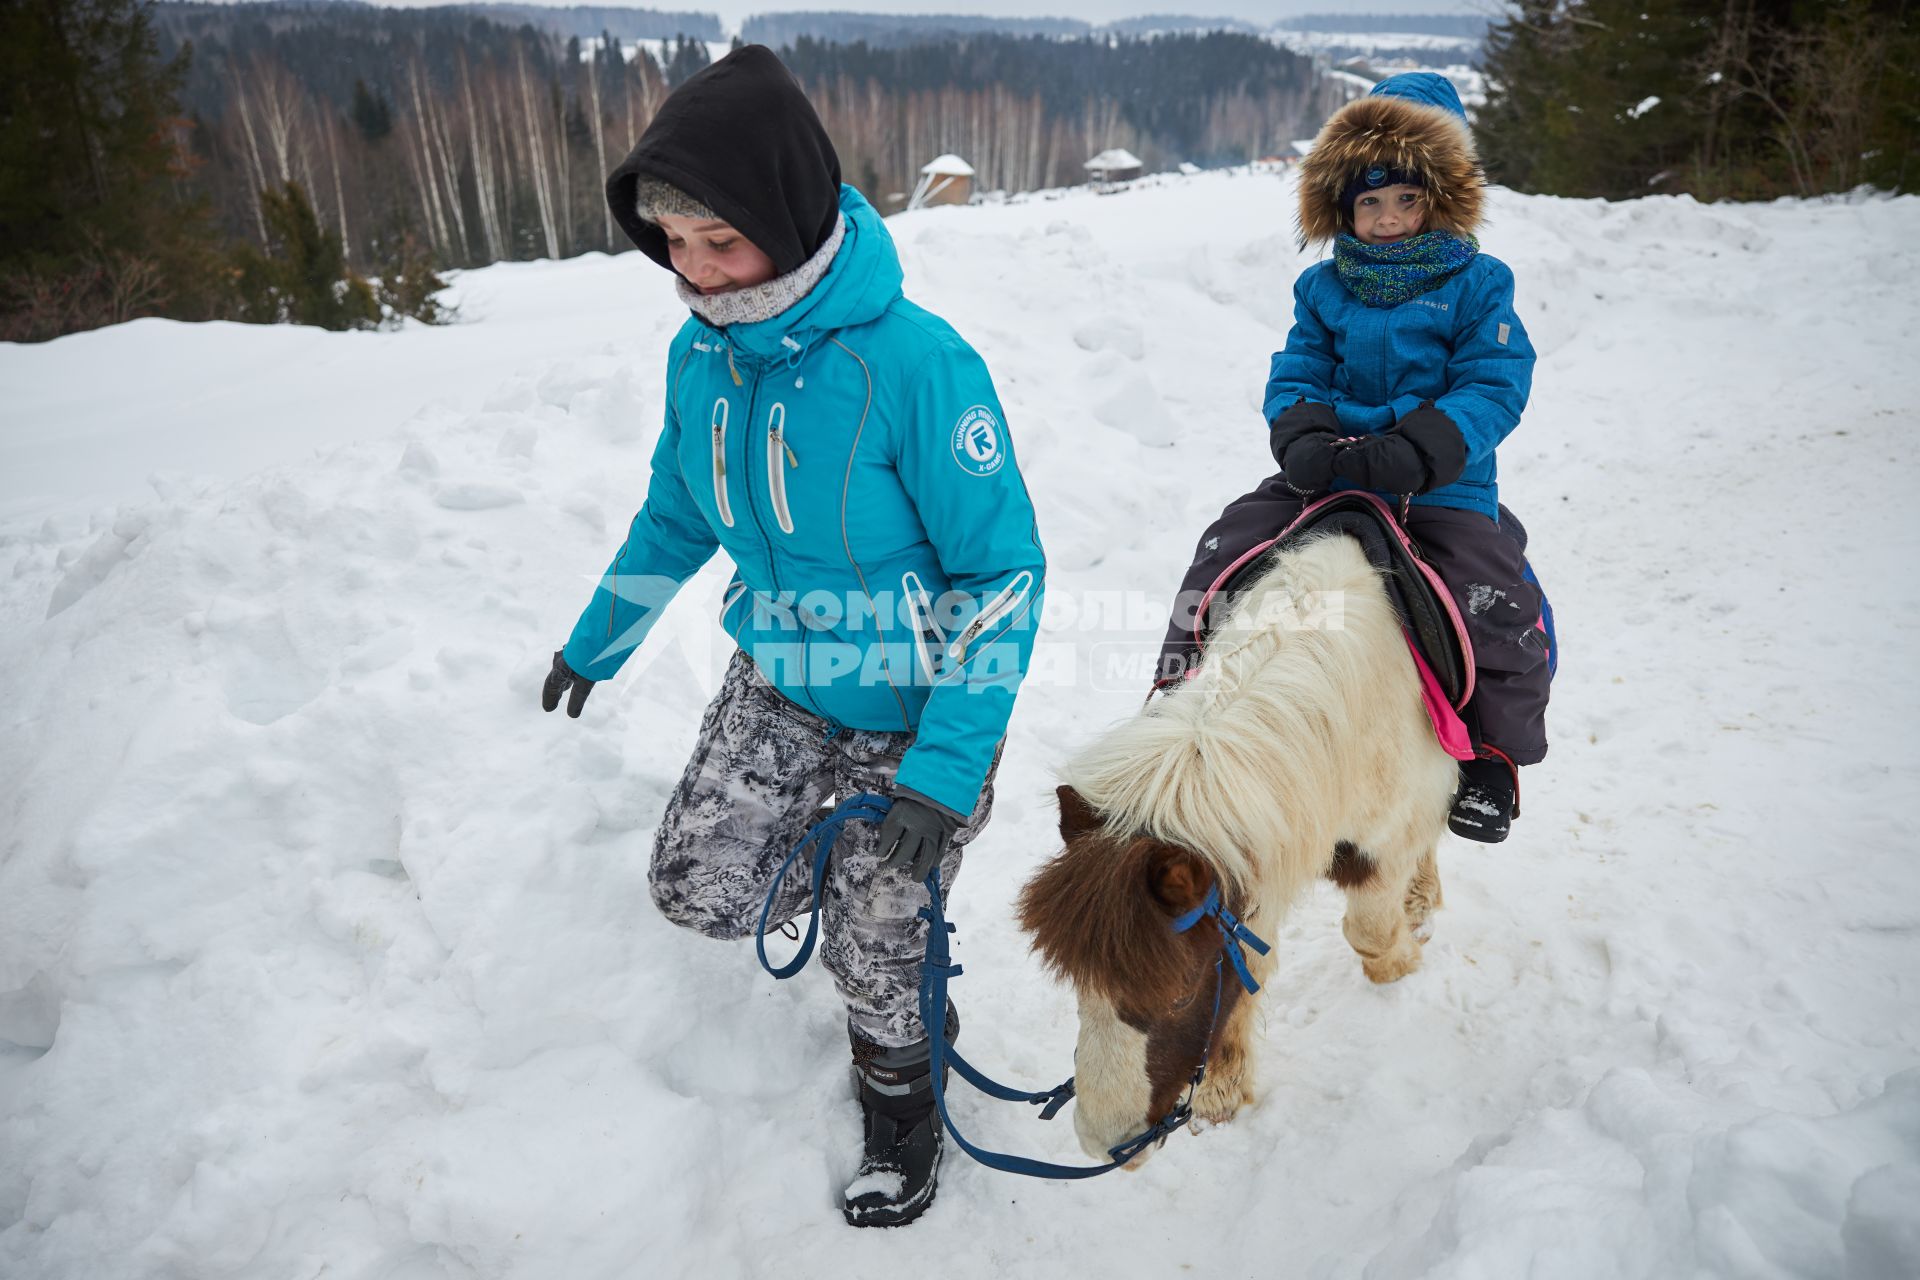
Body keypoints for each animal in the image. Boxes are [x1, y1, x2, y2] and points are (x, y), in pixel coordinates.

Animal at [1021, 529, 1451, 1159]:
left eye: (1178, 996)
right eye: (1080, 983)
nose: (1106, 1145)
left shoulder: (1388, 835)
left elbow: (1369, 932)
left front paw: (1403, 964)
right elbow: (1249, 965)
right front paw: (1221, 1092)